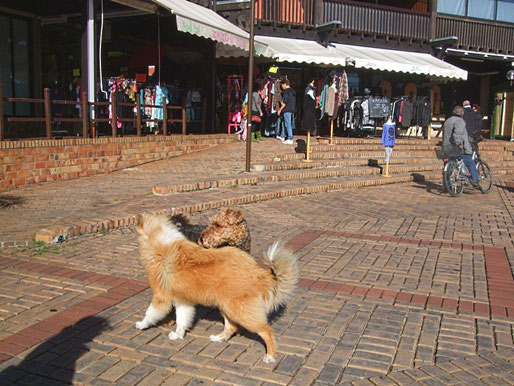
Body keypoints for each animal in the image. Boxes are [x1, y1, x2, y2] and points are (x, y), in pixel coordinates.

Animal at [134, 213, 298, 364]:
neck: (158, 240)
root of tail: (257, 272)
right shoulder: (183, 300)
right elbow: (181, 320)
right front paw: (178, 334)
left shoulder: (161, 296)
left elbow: (150, 313)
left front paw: (141, 324)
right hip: (226, 306)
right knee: (231, 327)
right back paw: (218, 338)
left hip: (240, 310)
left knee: (266, 331)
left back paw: (269, 356)